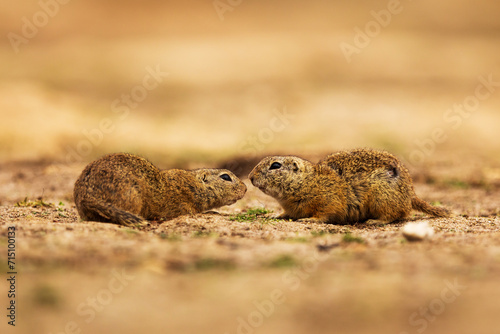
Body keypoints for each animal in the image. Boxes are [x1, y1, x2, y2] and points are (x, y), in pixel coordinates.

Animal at [248, 149, 452, 224]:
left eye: (275, 165)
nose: (250, 177)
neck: (308, 182)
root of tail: (411, 193)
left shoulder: (329, 201)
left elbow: (324, 214)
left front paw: (308, 220)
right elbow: (285, 214)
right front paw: (275, 215)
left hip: (381, 199)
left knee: (396, 215)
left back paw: (374, 221)